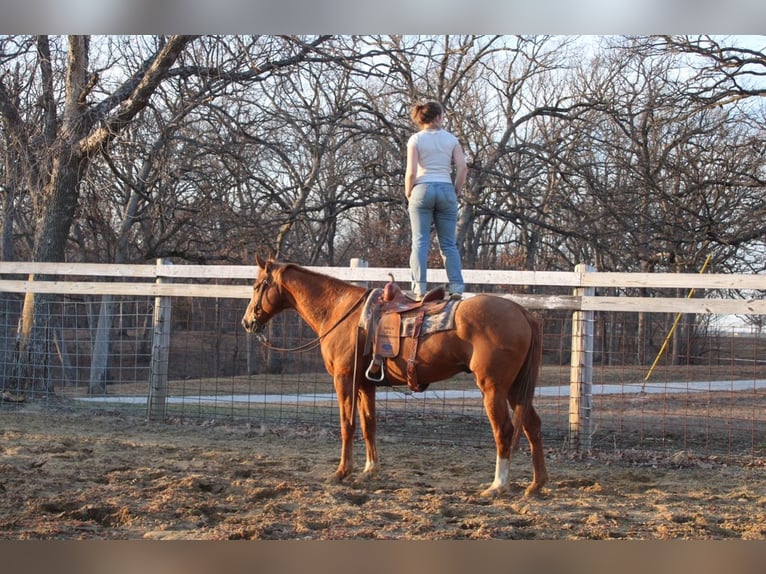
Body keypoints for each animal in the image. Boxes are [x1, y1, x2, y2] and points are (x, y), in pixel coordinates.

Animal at [241, 256, 548, 497]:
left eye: (257, 286)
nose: (246, 322)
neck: (341, 312)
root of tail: (522, 312)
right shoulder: (366, 385)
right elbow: (369, 425)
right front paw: (369, 470)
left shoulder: (344, 379)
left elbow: (347, 425)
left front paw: (341, 472)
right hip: (515, 388)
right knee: (532, 426)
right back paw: (536, 485)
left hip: (493, 388)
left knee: (504, 431)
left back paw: (498, 485)